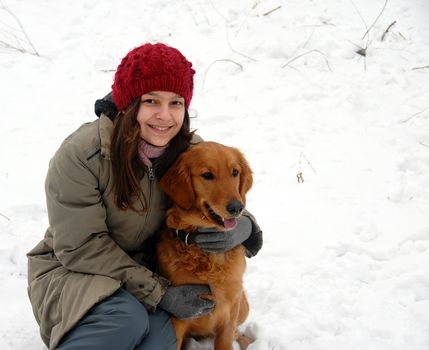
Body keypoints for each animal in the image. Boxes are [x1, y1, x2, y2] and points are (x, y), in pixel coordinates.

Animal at [156, 141, 252, 348]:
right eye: (207, 175)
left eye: (235, 172)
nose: (237, 207)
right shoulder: (179, 317)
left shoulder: (231, 308)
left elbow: (227, 339)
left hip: (243, 305)